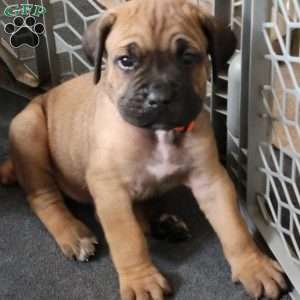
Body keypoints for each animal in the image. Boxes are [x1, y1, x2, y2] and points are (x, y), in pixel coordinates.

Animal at [0, 0, 286, 300]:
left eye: (188, 58)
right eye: (126, 61)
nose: (160, 97)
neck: (159, 135)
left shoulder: (211, 179)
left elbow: (234, 226)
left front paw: (254, 266)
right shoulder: (110, 189)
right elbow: (128, 239)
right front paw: (140, 280)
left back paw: (162, 222)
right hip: (27, 128)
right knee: (44, 198)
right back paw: (73, 233)